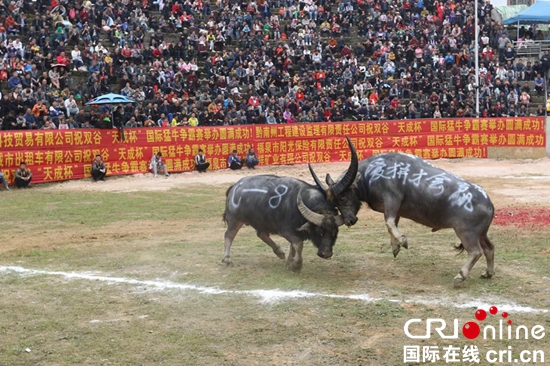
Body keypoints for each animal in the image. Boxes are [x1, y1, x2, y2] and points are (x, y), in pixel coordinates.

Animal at [222, 137, 360, 272]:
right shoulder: (286, 231)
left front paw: (289, 262)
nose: (326, 254)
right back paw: (227, 259)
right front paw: (296, 265)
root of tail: (234, 186)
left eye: (334, 233)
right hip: (235, 219)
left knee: (261, 234)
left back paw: (279, 252)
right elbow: (298, 245)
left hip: (261, 221)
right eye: (320, 232)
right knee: (229, 235)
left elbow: (293, 247)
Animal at [312, 152, 498, 286]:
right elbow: (392, 224)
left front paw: (403, 241)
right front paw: (395, 246)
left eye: (343, 198)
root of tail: (489, 203)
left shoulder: (392, 199)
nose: (350, 220)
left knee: (476, 252)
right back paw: (487, 273)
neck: (373, 173)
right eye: (335, 202)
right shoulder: (397, 209)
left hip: (466, 233)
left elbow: (388, 222)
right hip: (481, 233)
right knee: (489, 248)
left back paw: (460, 276)